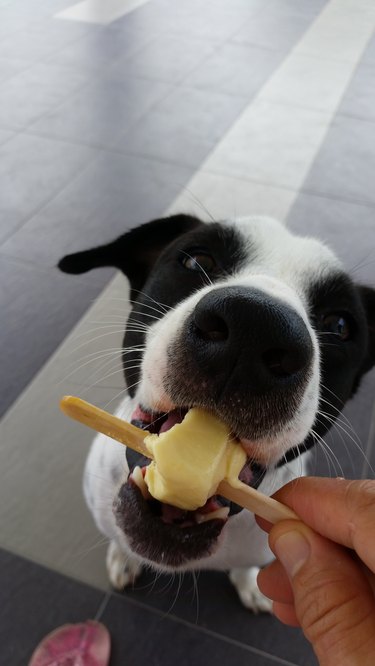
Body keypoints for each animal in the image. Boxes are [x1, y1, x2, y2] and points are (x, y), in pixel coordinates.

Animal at [59, 215, 375, 608]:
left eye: (340, 325)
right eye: (196, 261)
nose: (255, 325)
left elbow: (246, 565)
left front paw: (250, 583)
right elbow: (120, 539)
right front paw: (123, 557)